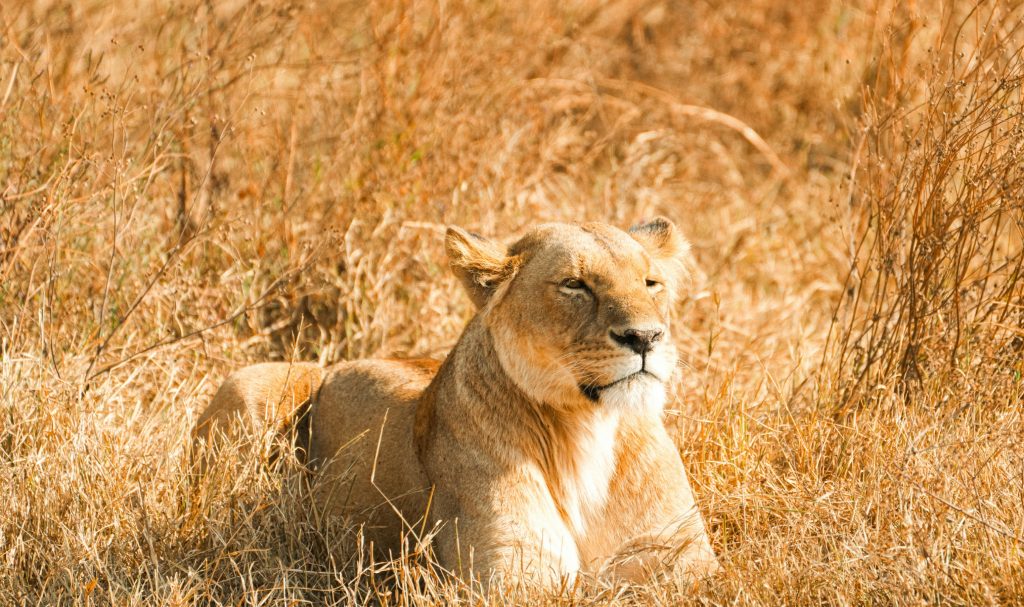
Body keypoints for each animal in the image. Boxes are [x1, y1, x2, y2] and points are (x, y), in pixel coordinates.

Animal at [193, 217, 720, 588]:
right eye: (575, 284)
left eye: (651, 283)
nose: (646, 337)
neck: (588, 426)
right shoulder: (510, 568)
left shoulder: (681, 555)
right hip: (250, 381)